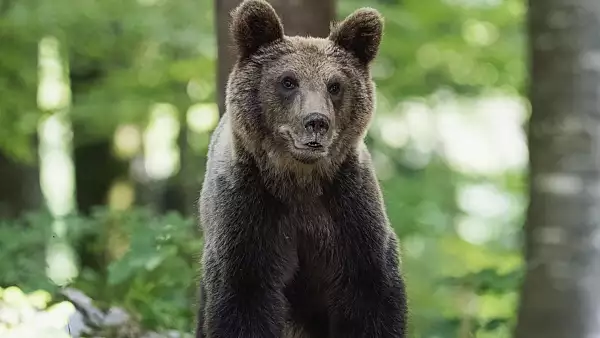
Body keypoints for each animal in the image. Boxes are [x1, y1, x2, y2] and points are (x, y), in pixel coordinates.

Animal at [197, 1, 408, 336]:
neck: (300, 181)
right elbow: (244, 298)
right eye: (288, 81)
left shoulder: (350, 214)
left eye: (334, 85)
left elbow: (371, 294)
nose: (316, 122)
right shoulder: (248, 216)